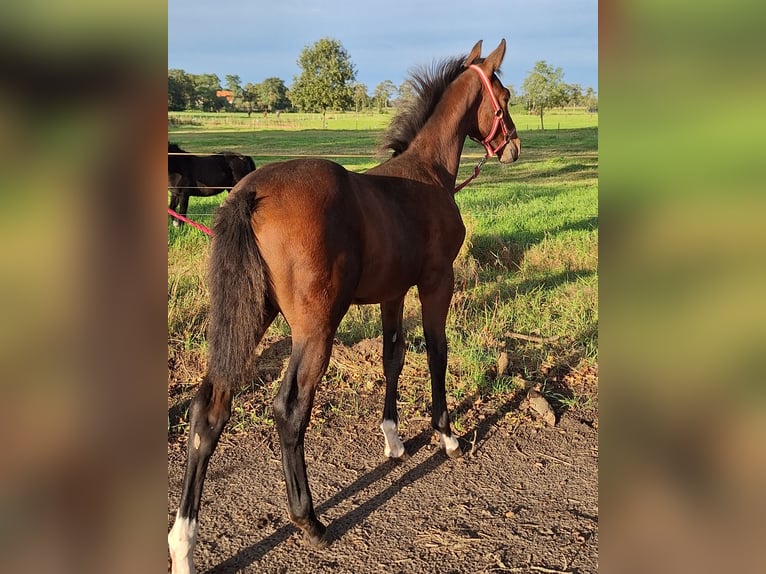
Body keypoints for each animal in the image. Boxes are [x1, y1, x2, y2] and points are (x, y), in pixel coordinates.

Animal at [165, 40, 520, 574]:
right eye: (504, 94)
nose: (513, 146)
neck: (428, 175)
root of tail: (251, 192)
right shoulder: (437, 283)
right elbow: (436, 352)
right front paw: (447, 435)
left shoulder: (394, 292)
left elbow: (393, 357)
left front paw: (394, 441)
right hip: (315, 328)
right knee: (289, 410)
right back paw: (309, 521)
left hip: (249, 317)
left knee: (209, 409)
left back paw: (183, 543)